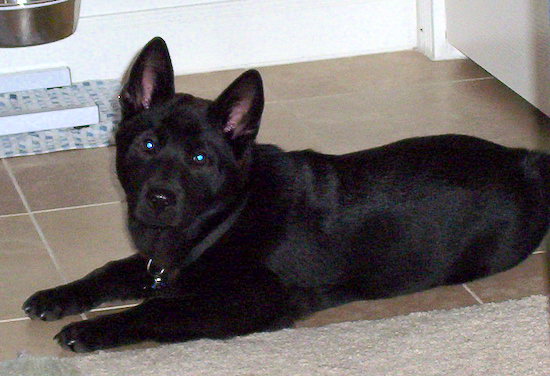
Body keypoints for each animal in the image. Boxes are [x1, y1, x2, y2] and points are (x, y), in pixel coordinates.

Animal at [23, 36, 548, 352]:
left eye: (200, 159)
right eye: (148, 145)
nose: (160, 199)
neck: (225, 219)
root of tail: (523, 159)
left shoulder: (251, 302)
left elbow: (159, 308)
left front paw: (92, 328)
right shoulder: (158, 262)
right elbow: (111, 270)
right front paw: (59, 295)